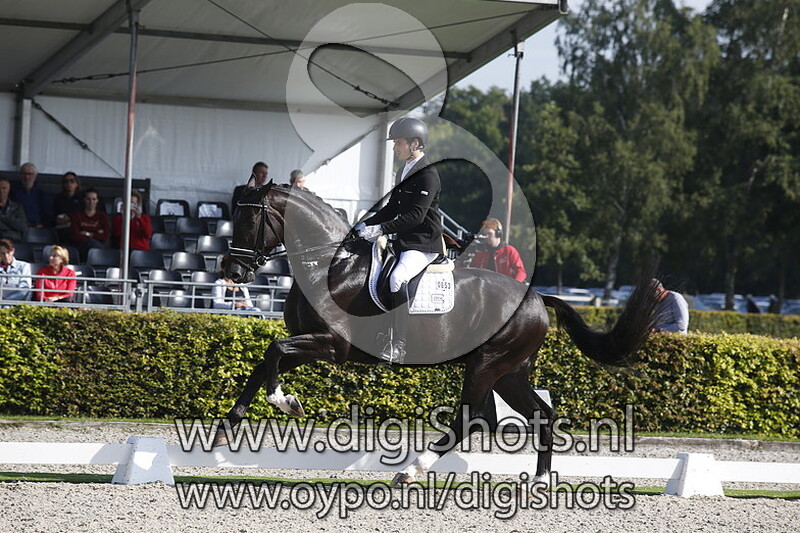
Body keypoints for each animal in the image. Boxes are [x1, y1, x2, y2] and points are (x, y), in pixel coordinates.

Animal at [220, 181, 659, 486]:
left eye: (250, 220)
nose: (232, 270)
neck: (332, 264)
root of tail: (536, 296)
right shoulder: (310, 344)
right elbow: (267, 360)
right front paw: (229, 426)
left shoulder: (333, 346)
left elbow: (274, 350)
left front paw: (286, 402)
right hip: (510, 372)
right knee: (540, 415)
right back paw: (538, 481)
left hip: (488, 364)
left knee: (472, 418)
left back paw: (411, 471)